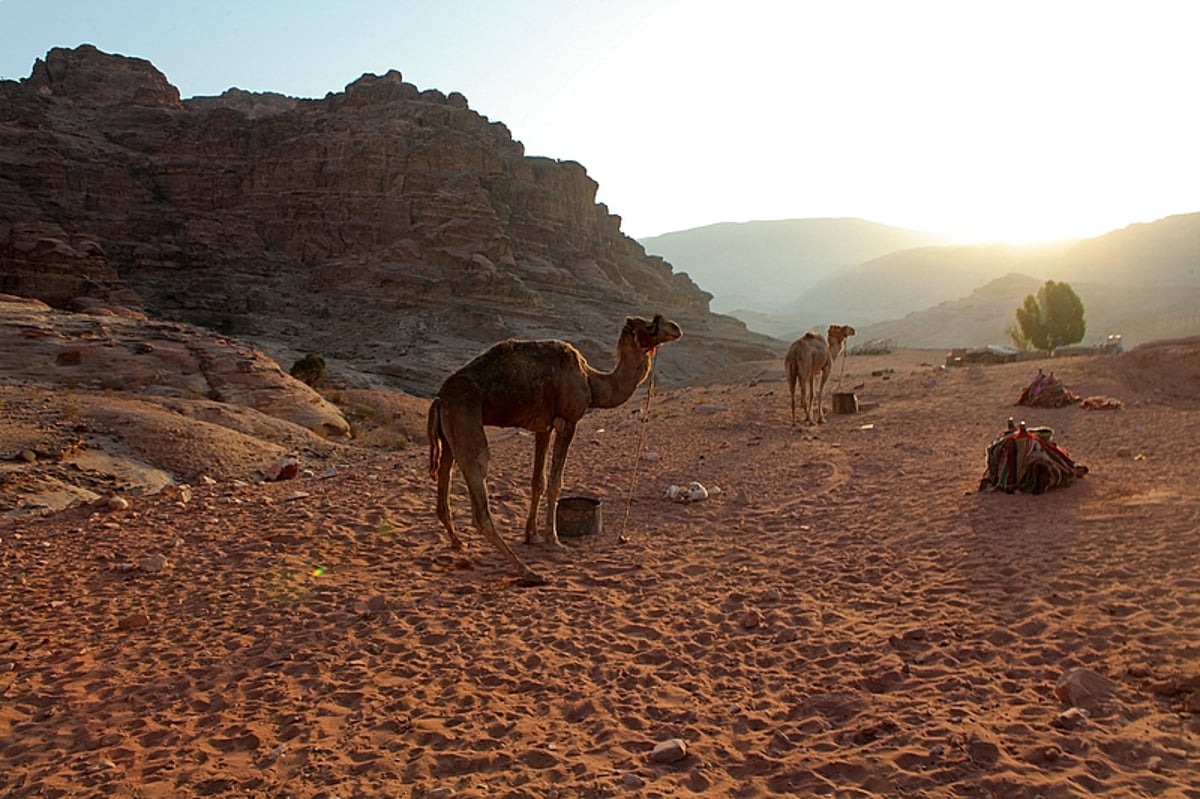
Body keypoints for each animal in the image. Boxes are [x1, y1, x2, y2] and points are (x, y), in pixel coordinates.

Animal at [427, 311, 681, 585]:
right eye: (652, 323)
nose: (676, 328)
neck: (591, 382)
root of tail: (439, 398)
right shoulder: (567, 422)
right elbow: (555, 482)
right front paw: (555, 541)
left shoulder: (543, 427)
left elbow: (537, 481)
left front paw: (532, 536)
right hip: (467, 421)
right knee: (479, 498)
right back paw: (528, 572)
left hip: (449, 434)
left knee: (445, 481)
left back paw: (458, 543)